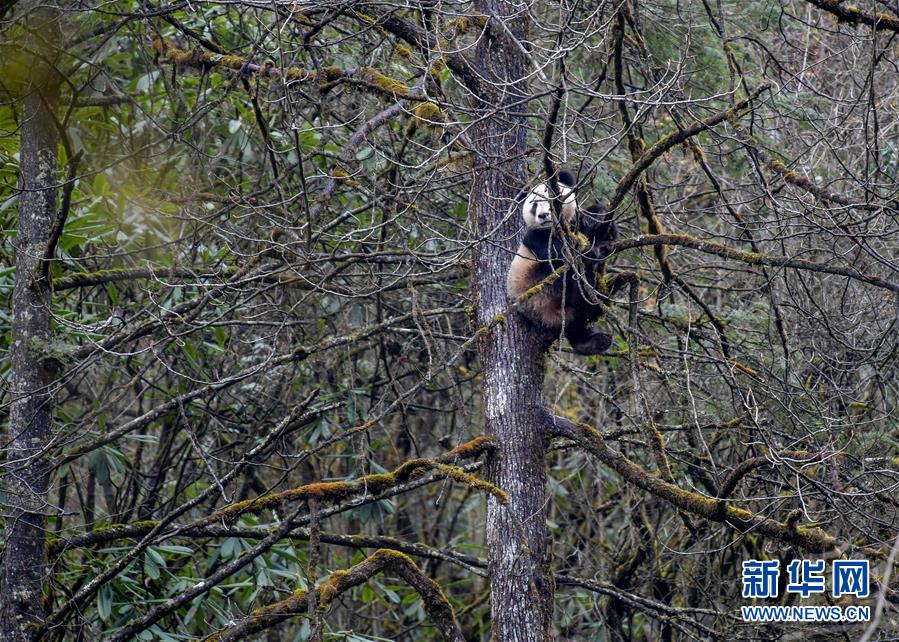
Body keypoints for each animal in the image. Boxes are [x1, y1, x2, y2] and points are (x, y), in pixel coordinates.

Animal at [506, 169, 620, 356]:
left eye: (552, 198)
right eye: (534, 205)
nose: (543, 216)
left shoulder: (575, 223)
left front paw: (597, 218)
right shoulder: (535, 237)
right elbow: (557, 251)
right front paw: (590, 251)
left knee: (577, 326)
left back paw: (594, 341)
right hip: (537, 291)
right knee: (560, 274)